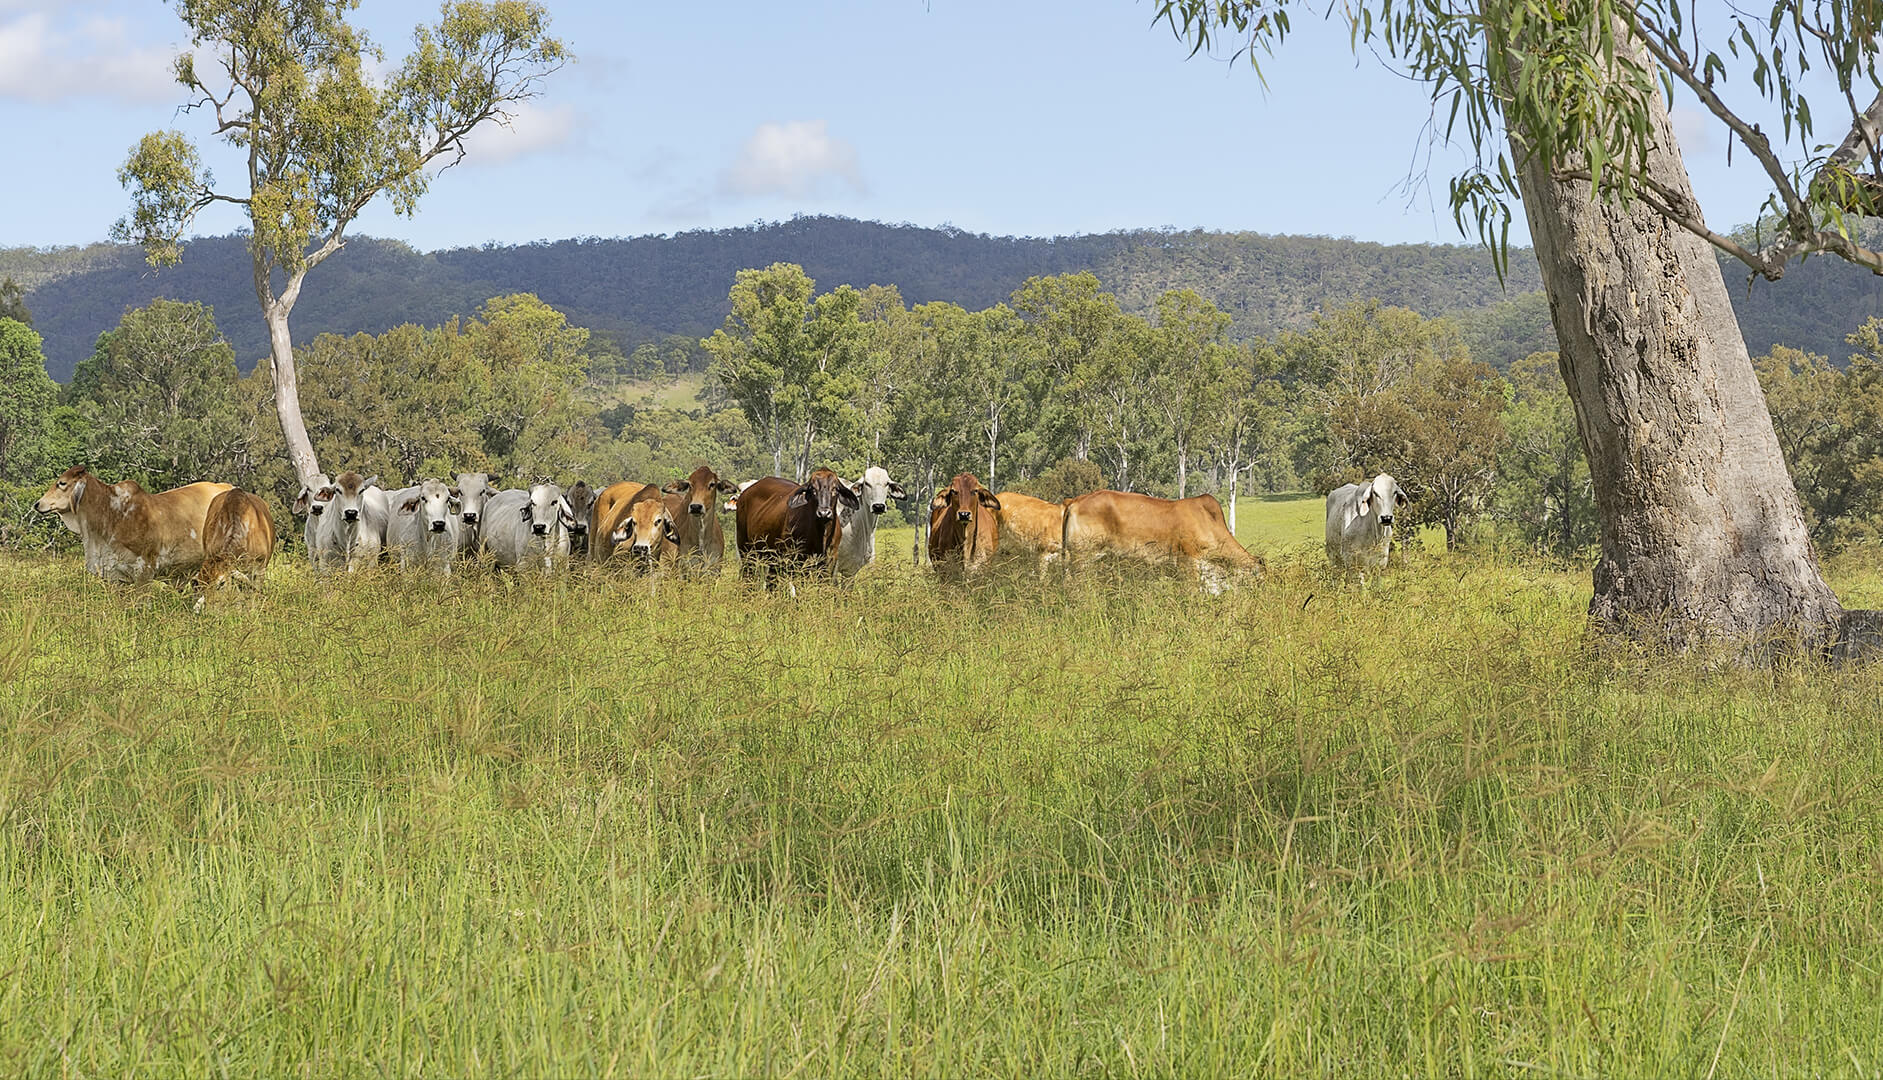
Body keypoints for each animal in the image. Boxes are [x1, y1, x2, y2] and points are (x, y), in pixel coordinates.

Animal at [734, 470, 862, 594]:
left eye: (835, 489)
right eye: (813, 489)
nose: (824, 513)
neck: (821, 536)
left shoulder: (829, 562)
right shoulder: (797, 562)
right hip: (746, 551)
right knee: (747, 577)